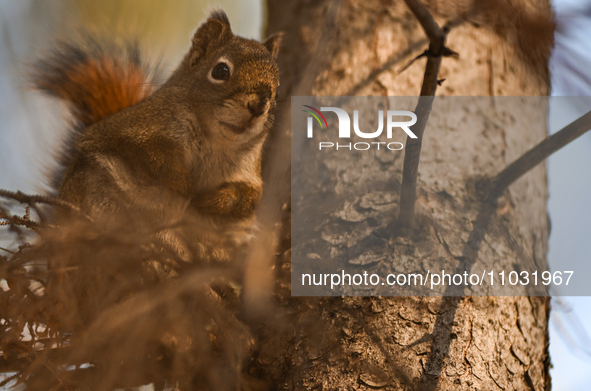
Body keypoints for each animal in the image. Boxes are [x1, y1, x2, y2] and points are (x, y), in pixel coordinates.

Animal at [31, 10, 284, 264]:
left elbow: (249, 197)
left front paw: (211, 201)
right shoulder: (134, 130)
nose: (259, 104)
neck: (214, 140)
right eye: (220, 71)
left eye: (278, 87)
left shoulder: (249, 173)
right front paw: (185, 185)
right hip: (98, 198)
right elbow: (153, 155)